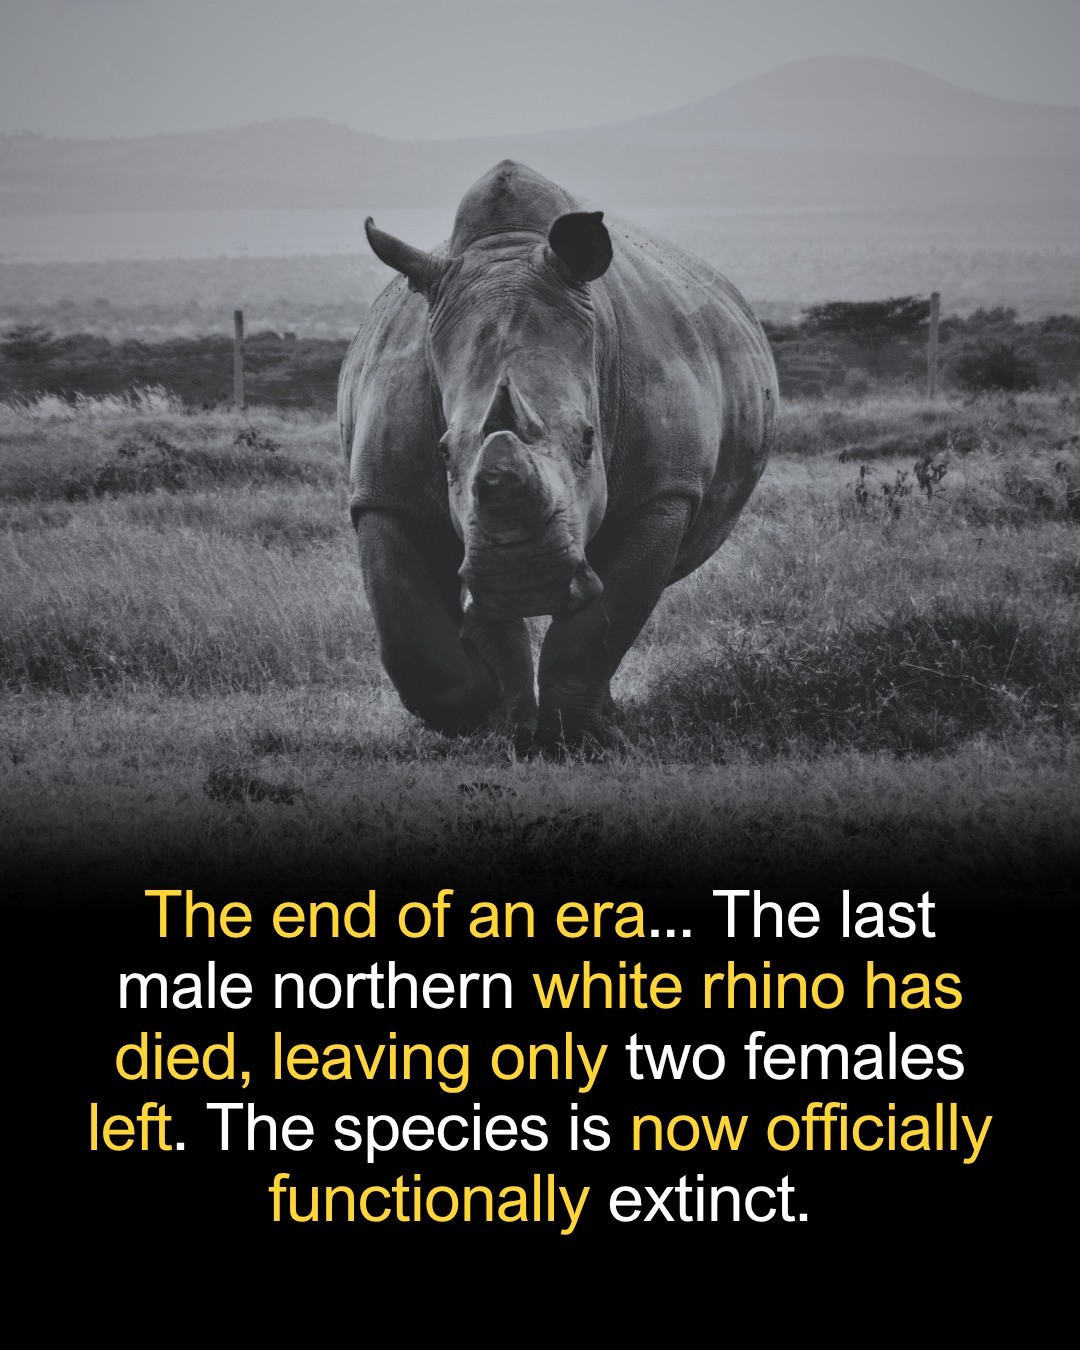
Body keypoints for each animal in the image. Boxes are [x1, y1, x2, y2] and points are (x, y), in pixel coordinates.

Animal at [339, 160, 776, 750]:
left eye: (590, 439)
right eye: (443, 453)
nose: (524, 579)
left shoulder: (665, 491)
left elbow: (600, 625)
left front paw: (583, 739)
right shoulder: (385, 491)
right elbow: (415, 642)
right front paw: (497, 713)